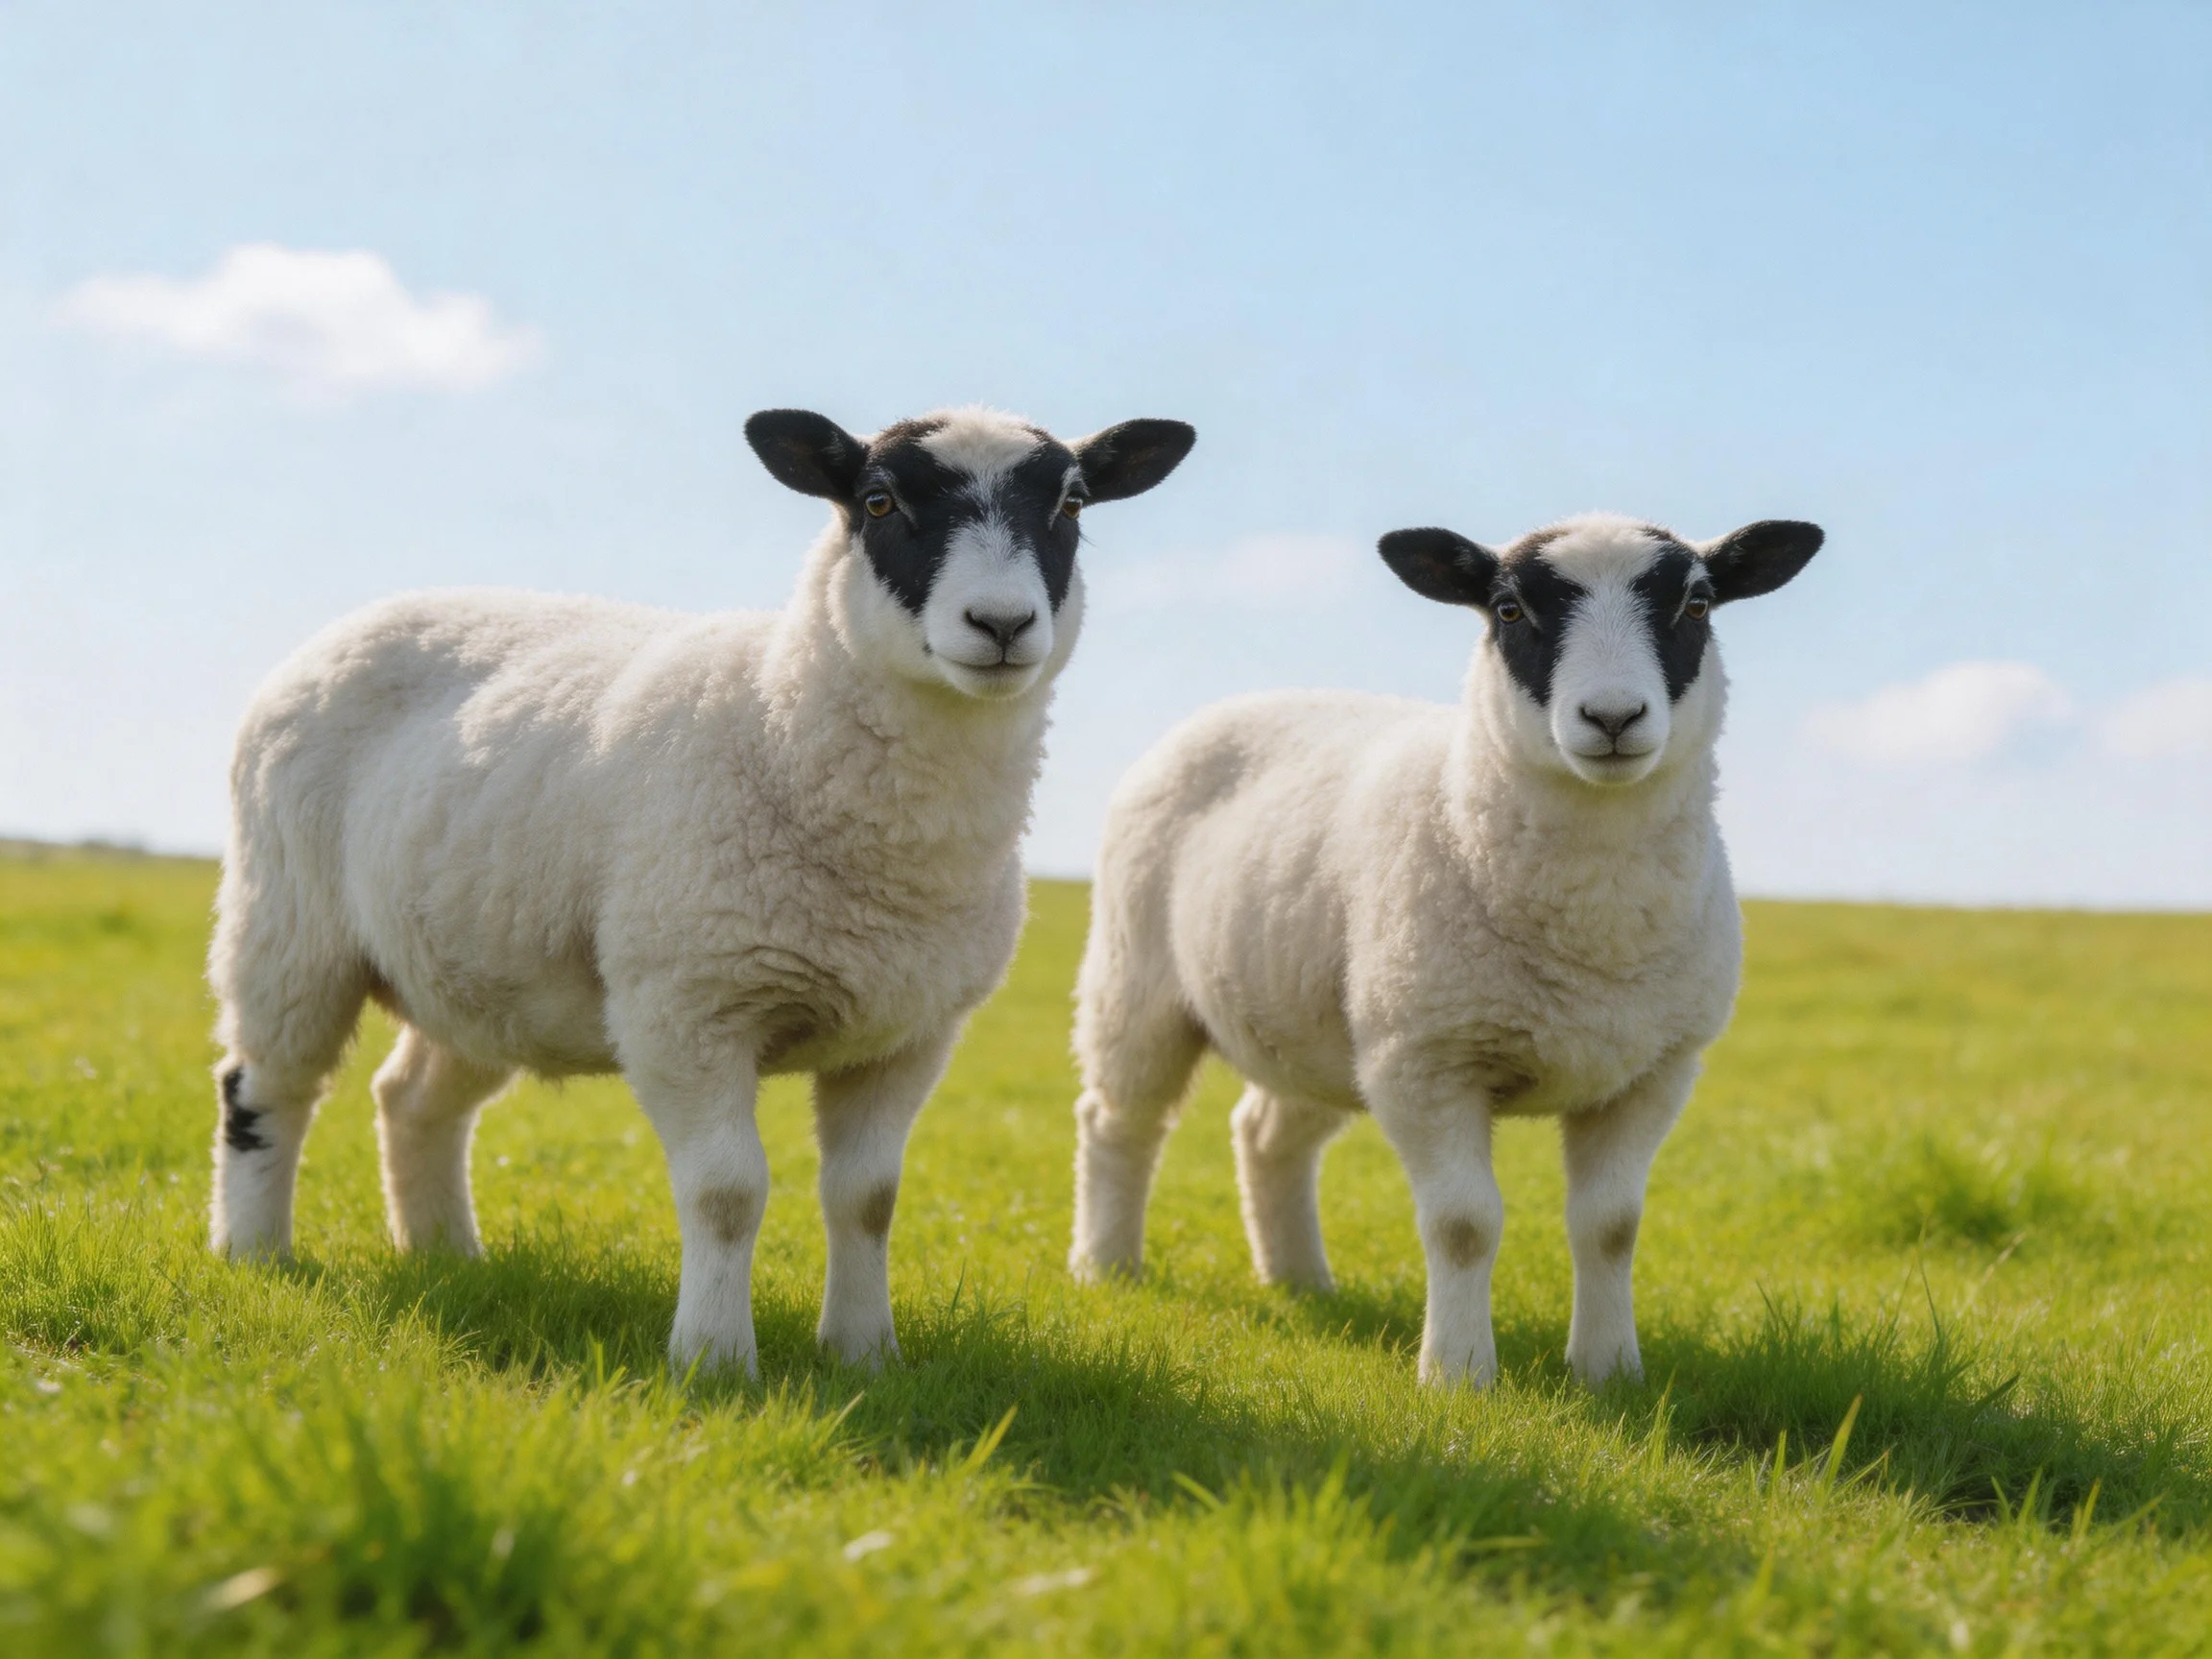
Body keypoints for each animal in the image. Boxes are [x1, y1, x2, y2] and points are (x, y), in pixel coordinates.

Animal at [207, 404, 1196, 1376]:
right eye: (878, 501)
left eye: (1072, 504)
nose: (1000, 624)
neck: (780, 721)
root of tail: (370, 614)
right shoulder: (688, 1005)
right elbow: (727, 1192)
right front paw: (715, 1361)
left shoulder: (910, 1033)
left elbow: (868, 1197)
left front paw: (865, 1356)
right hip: (289, 922)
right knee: (264, 1088)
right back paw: (254, 1252)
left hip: (483, 964)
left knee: (412, 1099)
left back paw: (447, 1256)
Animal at [1067, 512, 1822, 1387]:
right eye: (1508, 610)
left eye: (1697, 604)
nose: (1612, 718)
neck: (1590, 926)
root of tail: (1252, 698)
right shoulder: (1427, 1059)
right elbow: (1464, 1223)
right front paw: (1458, 1374)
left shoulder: (1654, 1072)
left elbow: (1611, 1225)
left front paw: (1608, 1371)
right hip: (1138, 982)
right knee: (1118, 1121)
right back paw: (1106, 1267)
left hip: (1324, 1025)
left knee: (1266, 1134)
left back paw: (1300, 1281)